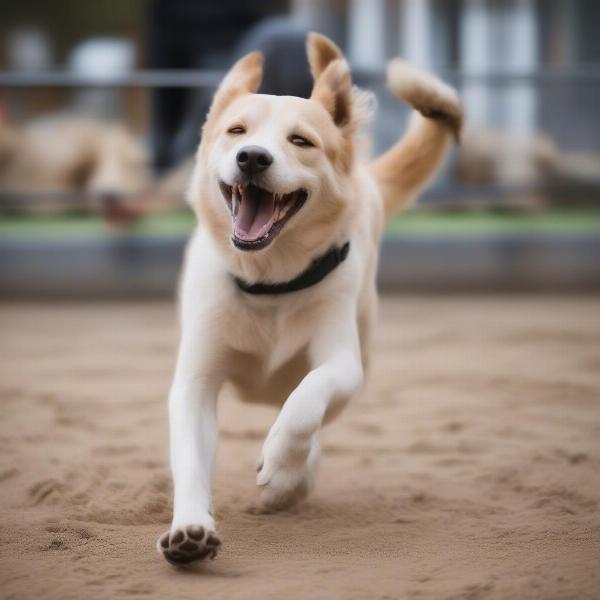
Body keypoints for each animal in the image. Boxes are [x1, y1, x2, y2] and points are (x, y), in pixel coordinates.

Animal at [157, 32, 462, 564]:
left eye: (300, 141)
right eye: (236, 131)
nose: (253, 157)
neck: (270, 284)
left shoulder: (343, 362)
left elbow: (305, 403)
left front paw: (281, 467)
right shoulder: (195, 383)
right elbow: (191, 456)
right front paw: (190, 530)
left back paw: (292, 479)